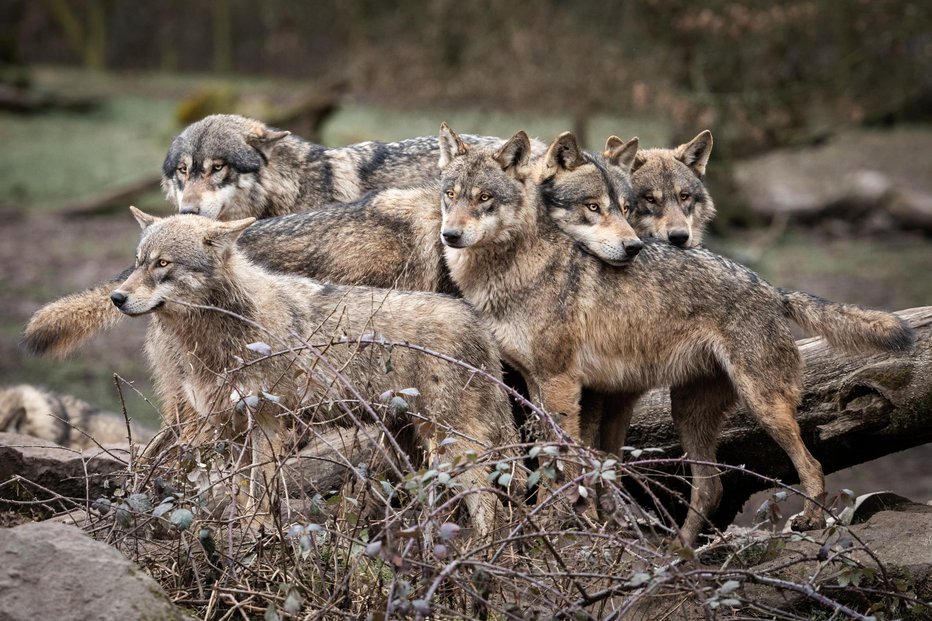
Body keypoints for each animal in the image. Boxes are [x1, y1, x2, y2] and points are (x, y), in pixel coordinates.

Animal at [109, 209, 524, 532]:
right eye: (139, 261)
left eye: (163, 264)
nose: (116, 297)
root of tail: (476, 322)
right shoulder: (234, 430)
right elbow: (239, 496)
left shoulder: (268, 424)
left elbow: (259, 496)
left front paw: (258, 538)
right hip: (414, 441)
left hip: (452, 444)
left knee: (491, 505)